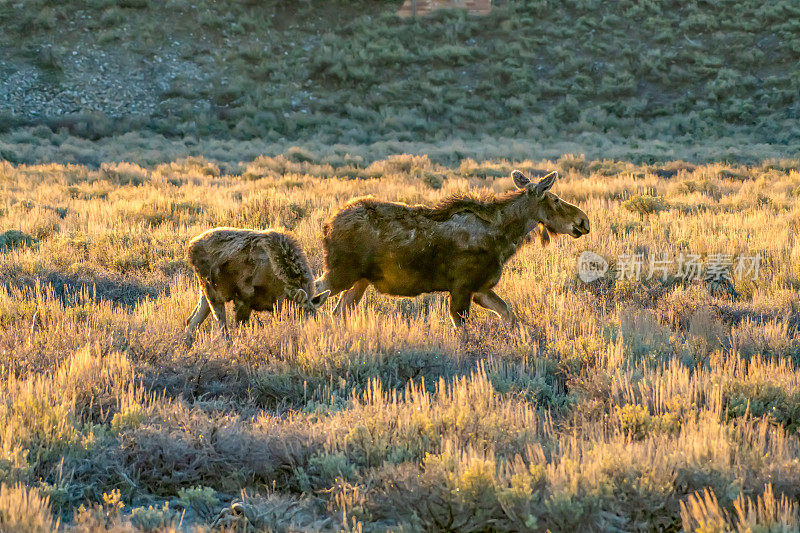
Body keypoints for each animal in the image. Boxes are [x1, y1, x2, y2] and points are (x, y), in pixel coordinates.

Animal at [185, 227, 328, 338]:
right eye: (300, 315)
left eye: (316, 317)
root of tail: (190, 246)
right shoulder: (242, 299)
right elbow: (240, 330)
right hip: (212, 291)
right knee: (221, 327)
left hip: (205, 292)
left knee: (192, 320)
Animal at [318, 168, 588, 326]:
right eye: (555, 199)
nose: (583, 221)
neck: (505, 236)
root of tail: (328, 225)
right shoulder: (462, 287)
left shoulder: (481, 288)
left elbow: (509, 315)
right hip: (341, 273)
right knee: (315, 294)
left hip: (359, 281)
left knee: (336, 311)